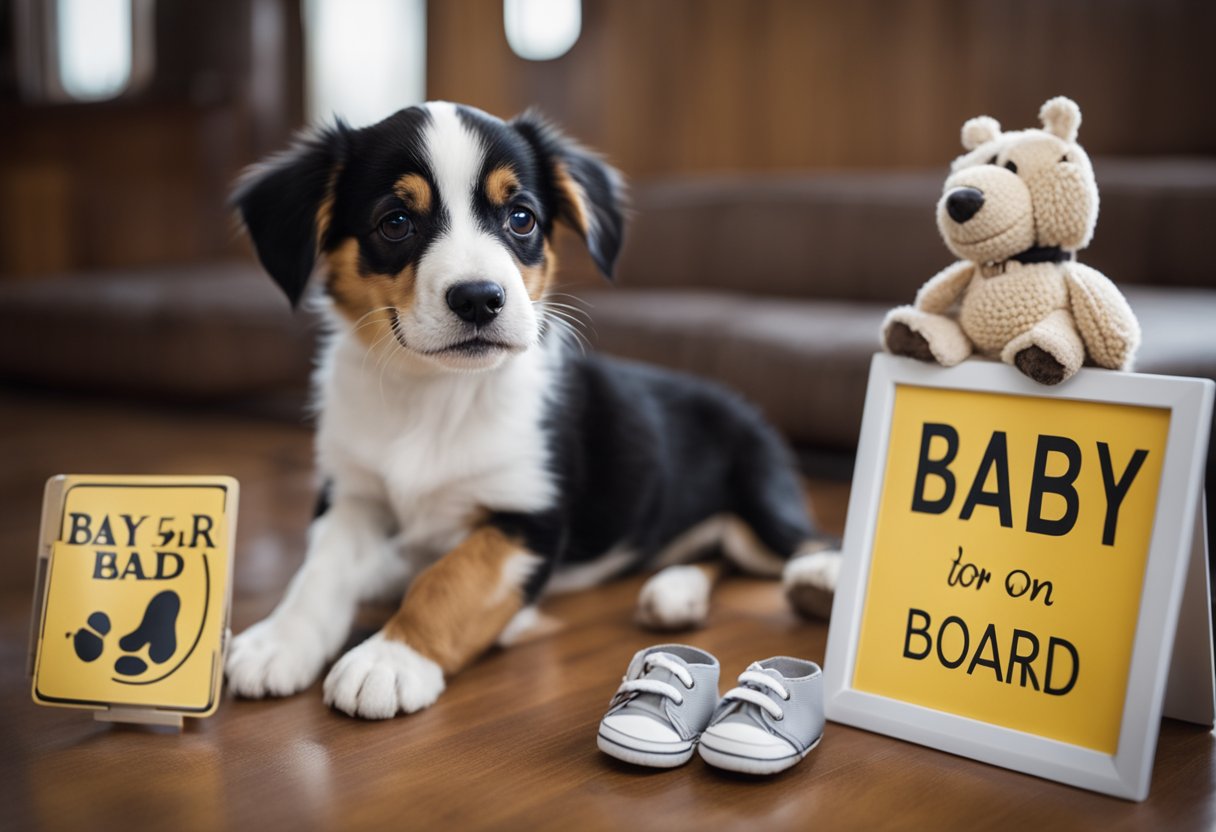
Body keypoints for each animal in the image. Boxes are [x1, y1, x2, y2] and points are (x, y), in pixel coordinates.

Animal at [223, 100, 841, 720]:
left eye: (521, 218)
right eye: (395, 222)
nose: (478, 298)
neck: (433, 397)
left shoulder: (528, 519)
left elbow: (450, 580)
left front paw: (389, 659)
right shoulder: (351, 495)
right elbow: (318, 571)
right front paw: (279, 641)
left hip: (760, 495)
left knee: (804, 541)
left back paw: (820, 578)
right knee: (715, 550)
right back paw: (675, 591)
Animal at [885, 97, 1138, 386]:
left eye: (1010, 166)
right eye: (984, 162)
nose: (960, 199)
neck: (1014, 261)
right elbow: (936, 291)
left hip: (1058, 325)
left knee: (1059, 334)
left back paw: (1042, 357)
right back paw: (910, 333)